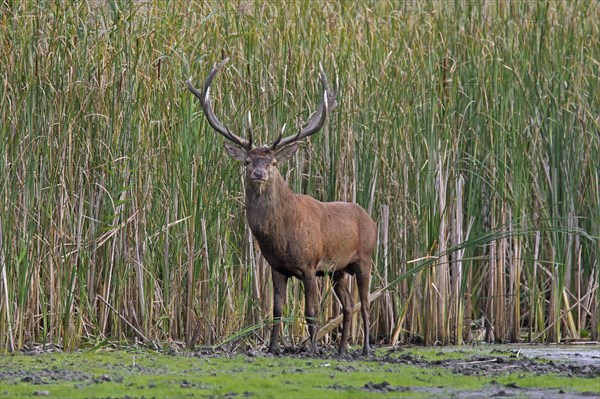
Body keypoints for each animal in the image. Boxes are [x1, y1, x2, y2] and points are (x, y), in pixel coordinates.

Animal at [188, 58, 376, 356]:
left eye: (274, 162)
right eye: (247, 161)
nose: (259, 173)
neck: (281, 235)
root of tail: (371, 218)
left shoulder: (310, 265)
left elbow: (311, 311)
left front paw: (311, 349)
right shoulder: (276, 267)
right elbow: (276, 309)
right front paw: (273, 347)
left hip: (365, 257)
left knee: (366, 303)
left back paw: (366, 348)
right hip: (337, 270)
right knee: (347, 305)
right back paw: (342, 350)